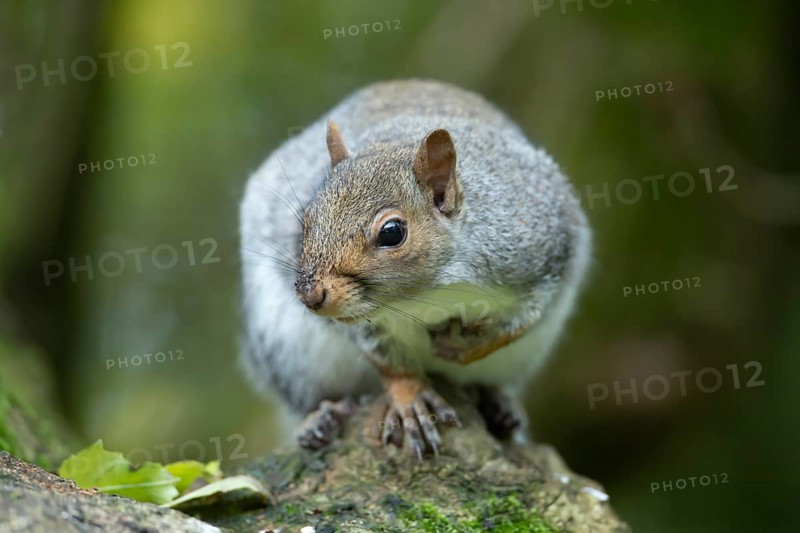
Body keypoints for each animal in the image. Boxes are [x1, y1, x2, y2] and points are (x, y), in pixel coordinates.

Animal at [239, 79, 590, 459]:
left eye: (392, 232)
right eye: (305, 221)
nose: (310, 295)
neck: (429, 292)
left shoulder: (546, 249)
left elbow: (527, 317)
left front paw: (466, 345)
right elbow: (387, 360)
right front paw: (410, 397)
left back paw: (500, 406)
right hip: (288, 351)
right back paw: (322, 417)